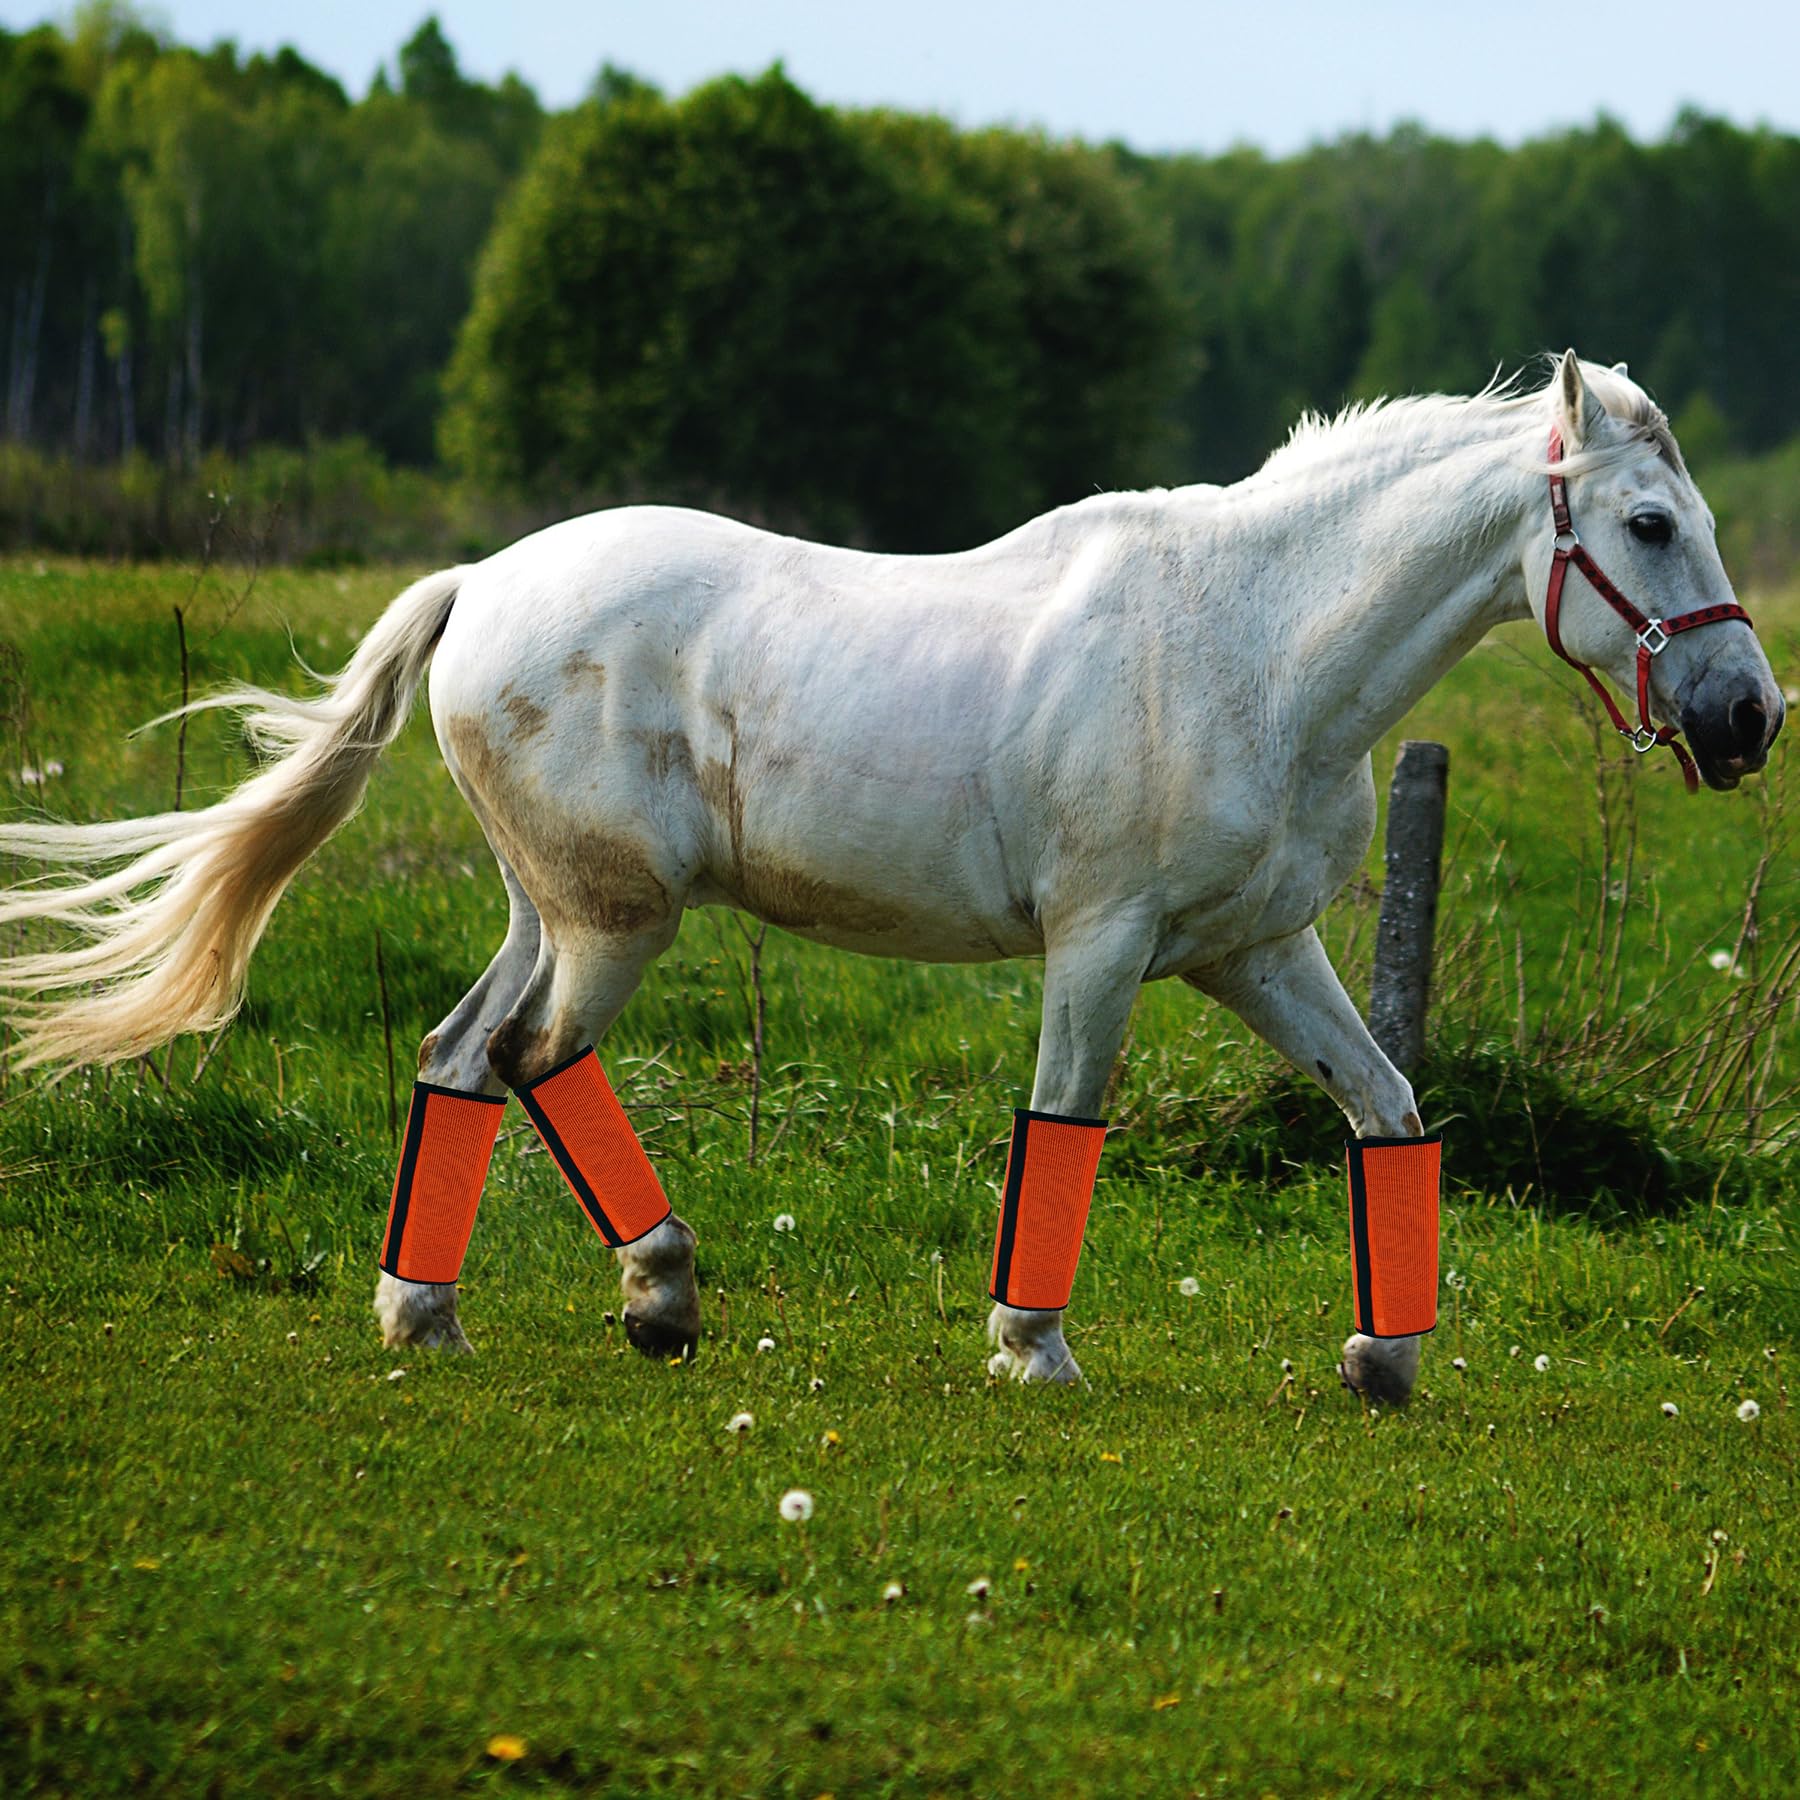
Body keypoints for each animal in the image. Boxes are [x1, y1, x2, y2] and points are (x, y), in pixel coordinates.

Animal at [0, 352, 1782, 1403]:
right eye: (1646, 523)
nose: (1747, 719)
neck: (1257, 648)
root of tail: (481, 582)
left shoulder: (1259, 951)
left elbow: (1388, 1110)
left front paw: (1384, 1354)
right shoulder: (1103, 946)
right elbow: (1066, 1125)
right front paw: (1032, 1350)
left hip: (552, 907)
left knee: (461, 1059)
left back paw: (422, 1315)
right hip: (614, 922)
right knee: (533, 1057)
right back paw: (659, 1300)